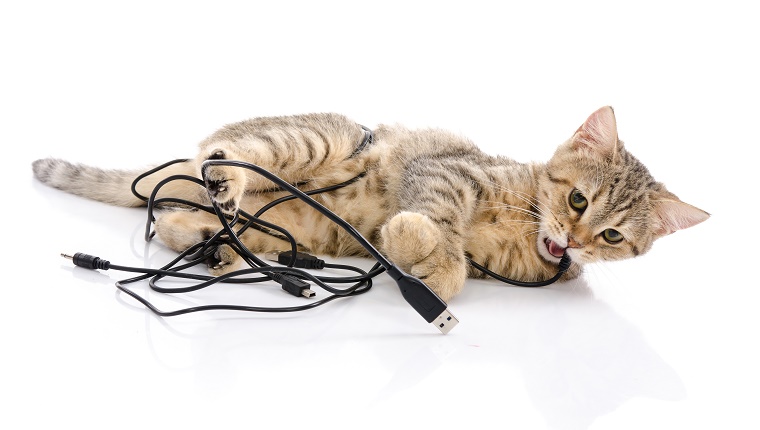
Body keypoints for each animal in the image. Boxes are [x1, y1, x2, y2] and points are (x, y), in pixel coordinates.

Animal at [29, 106, 708, 302]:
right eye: (576, 198)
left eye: (613, 237)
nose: (574, 240)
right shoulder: (450, 172)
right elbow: (442, 228)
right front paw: (423, 248)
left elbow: (460, 267)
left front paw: (428, 262)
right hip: (314, 140)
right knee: (219, 152)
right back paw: (225, 182)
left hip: (285, 227)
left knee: (179, 219)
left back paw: (215, 248)